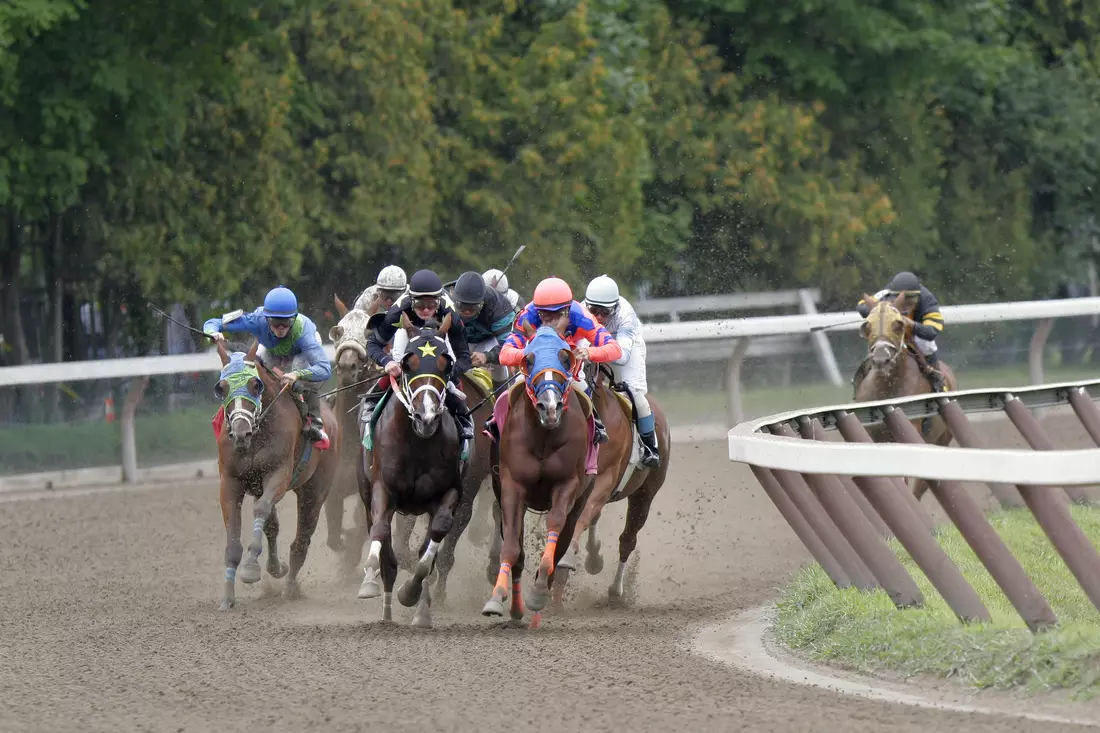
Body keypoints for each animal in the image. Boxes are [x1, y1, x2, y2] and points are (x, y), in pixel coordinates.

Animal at [211, 338, 338, 607]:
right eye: (222, 388)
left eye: (255, 385)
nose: (240, 433)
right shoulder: (230, 483)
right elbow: (234, 541)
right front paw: (227, 597)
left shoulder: (279, 474)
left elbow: (261, 510)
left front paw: (250, 568)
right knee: (273, 526)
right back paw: (276, 568)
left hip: (315, 491)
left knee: (301, 541)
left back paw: (289, 587)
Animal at [356, 310, 468, 625]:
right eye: (408, 362)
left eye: (446, 362)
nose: (426, 416)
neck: (418, 443)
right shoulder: (383, 490)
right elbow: (381, 532)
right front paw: (369, 579)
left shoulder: (450, 491)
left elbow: (432, 544)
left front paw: (412, 592)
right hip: (365, 492)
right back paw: (385, 613)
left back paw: (420, 613)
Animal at [554, 360, 673, 603]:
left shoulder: (605, 479)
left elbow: (583, 518)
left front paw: (567, 558)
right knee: (596, 518)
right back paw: (594, 557)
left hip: (645, 494)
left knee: (627, 539)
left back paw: (616, 590)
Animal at [849, 288, 954, 499]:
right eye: (867, 326)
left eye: (898, 325)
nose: (881, 359)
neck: (888, 388)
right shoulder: (871, 433)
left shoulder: (907, 433)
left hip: (942, 439)